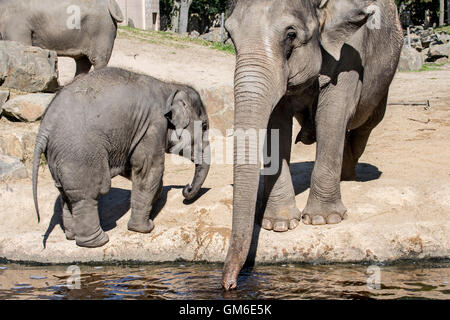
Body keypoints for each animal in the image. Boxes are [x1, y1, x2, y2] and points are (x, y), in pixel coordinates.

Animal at [31, 67, 211, 248]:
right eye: (204, 126)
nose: (186, 188)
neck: (170, 86)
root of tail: (44, 127)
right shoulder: (153, 125)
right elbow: (148, 168)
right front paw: (145, 228)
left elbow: (131, 167)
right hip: (80, 154)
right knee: (88, 194)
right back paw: (98, 241)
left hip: (58, 157)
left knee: (67, 195)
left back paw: (71, 236)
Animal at [223, 0, 402, 290]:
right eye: (229, 35)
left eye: (291, 35)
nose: (229, 285)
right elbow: (277, 122)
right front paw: (279, 225)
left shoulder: (350, 53)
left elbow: (332, 115)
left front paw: (322, 220)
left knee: (364, 125)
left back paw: (349, 177)